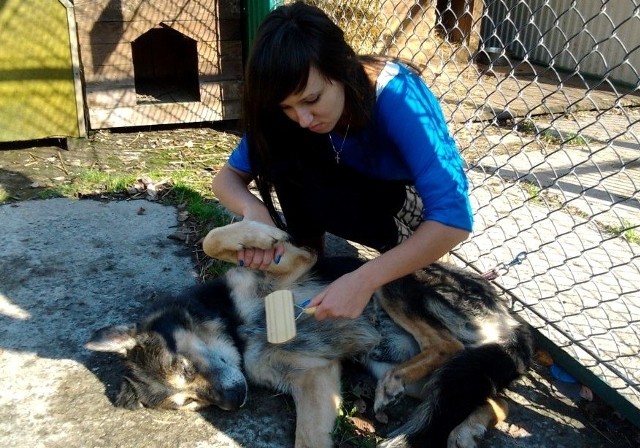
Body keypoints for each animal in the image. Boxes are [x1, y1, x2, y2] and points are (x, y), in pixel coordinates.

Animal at [86, 220, 536, 448]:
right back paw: (463, 428)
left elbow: (215, 239)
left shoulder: (295, 262)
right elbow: (308, 435)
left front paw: (257, 233)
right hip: (402, 367)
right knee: (486, 397)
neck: (238, 330)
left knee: (448, 345)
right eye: (189, 403)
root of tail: (511, 323)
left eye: (183, 366)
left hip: (390, 280)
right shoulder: (314, 375)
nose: (234, 401)